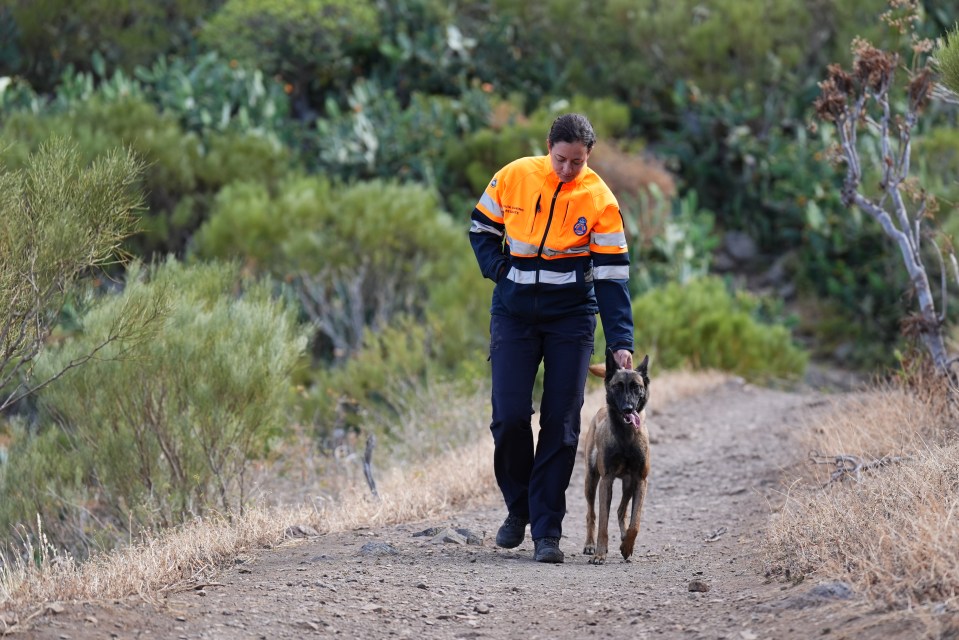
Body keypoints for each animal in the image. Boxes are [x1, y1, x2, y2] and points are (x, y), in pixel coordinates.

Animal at [580, 350, 648, 564]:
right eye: (617, 386)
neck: (625, 437)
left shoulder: (640, 480)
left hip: (628, 485)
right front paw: (600, 553)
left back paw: (624, 538)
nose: (628, 408)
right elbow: (602, 521)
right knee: (590, 514)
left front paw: (627, 546)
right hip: (591, 481)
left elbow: (636, 522)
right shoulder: (606, 480)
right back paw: (590, 545)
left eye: (636, 387)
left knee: (621, 511)